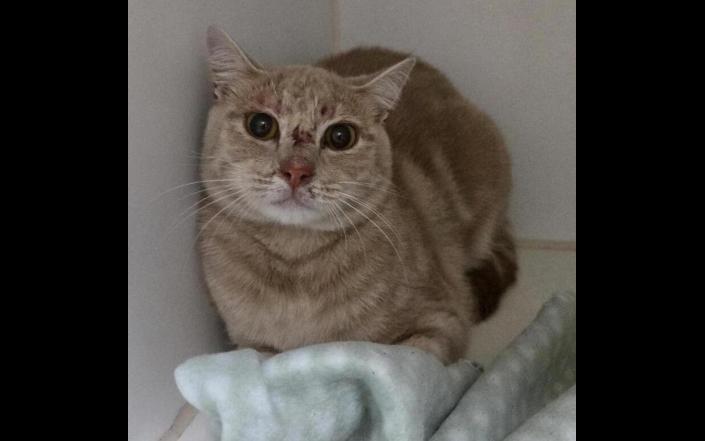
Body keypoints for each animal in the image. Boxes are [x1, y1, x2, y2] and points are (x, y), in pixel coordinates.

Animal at [196, 27, 517, 364]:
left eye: (340, 136)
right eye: (260, 125)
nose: (297, 171)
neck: (296, 266)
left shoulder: (443, 320)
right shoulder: (251, 345)